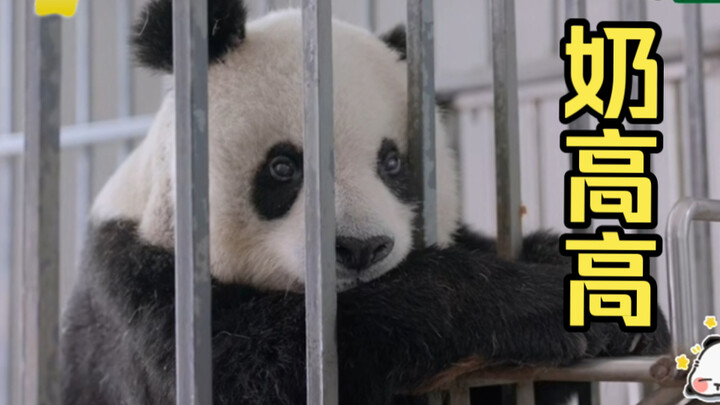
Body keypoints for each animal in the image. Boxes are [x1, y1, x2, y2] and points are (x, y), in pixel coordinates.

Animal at [60, 1, 670, 404]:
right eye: (283, 167)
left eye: (393, 163)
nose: (361, 249)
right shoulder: (145, 296)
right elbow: (269, 365)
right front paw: (527, 302)